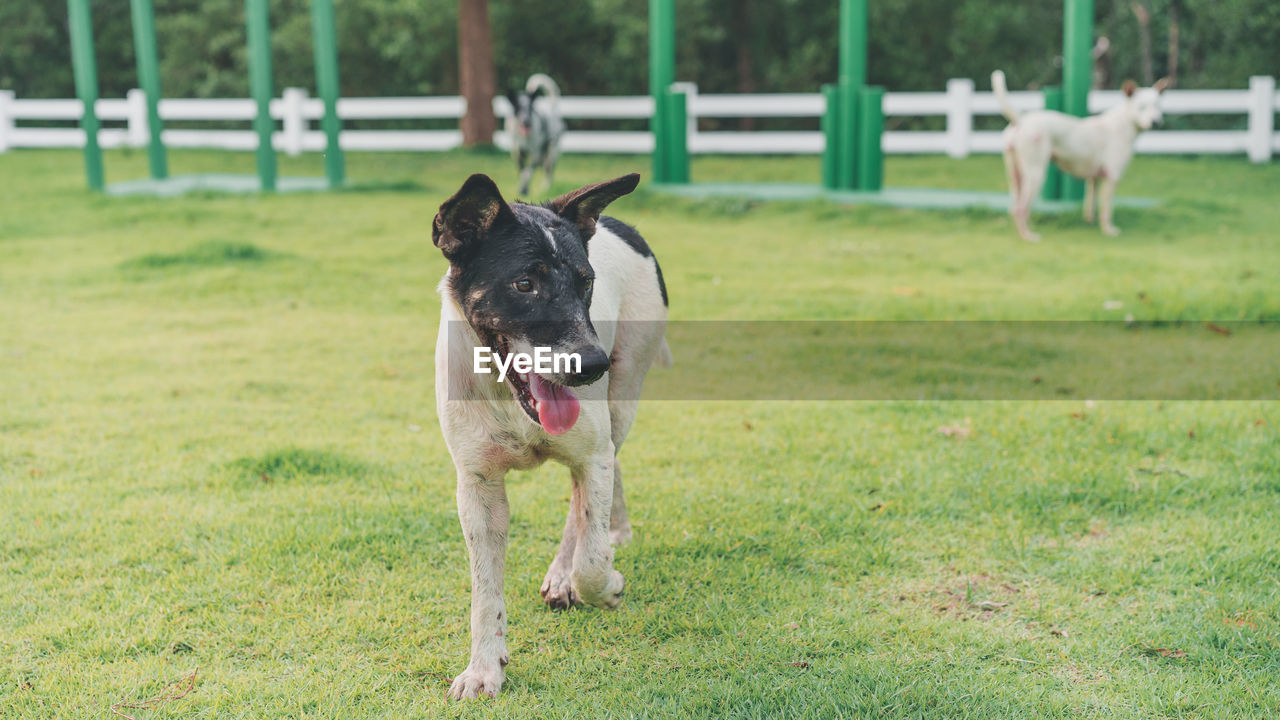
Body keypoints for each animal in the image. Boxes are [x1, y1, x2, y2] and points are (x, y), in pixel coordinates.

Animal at [430, 169, 670, 696]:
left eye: (587, 282)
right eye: (524, 284)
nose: (592, 365)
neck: (510, 401)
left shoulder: (591, 451)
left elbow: (592, 560)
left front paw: (601, 583)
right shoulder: (476, 485)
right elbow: (484, 593)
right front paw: (484, 669)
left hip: (626, 386)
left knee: (598, 479)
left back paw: (572, 566)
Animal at [988, 68, 1172, 239]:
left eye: (1158, 105)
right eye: (1141, 107)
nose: (1156, 121)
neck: (1124, 124)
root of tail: (1021, 121)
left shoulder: (1094, 179)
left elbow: (1091, 204)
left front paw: (1090, 222)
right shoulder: (1112, 177)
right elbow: (1107, 209)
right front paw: (1108, 230)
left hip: (1015, 175)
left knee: (1015, 206)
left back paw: (1027, 228)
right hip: (1036, 173)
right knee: (1020, 208)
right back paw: (1028, 236)